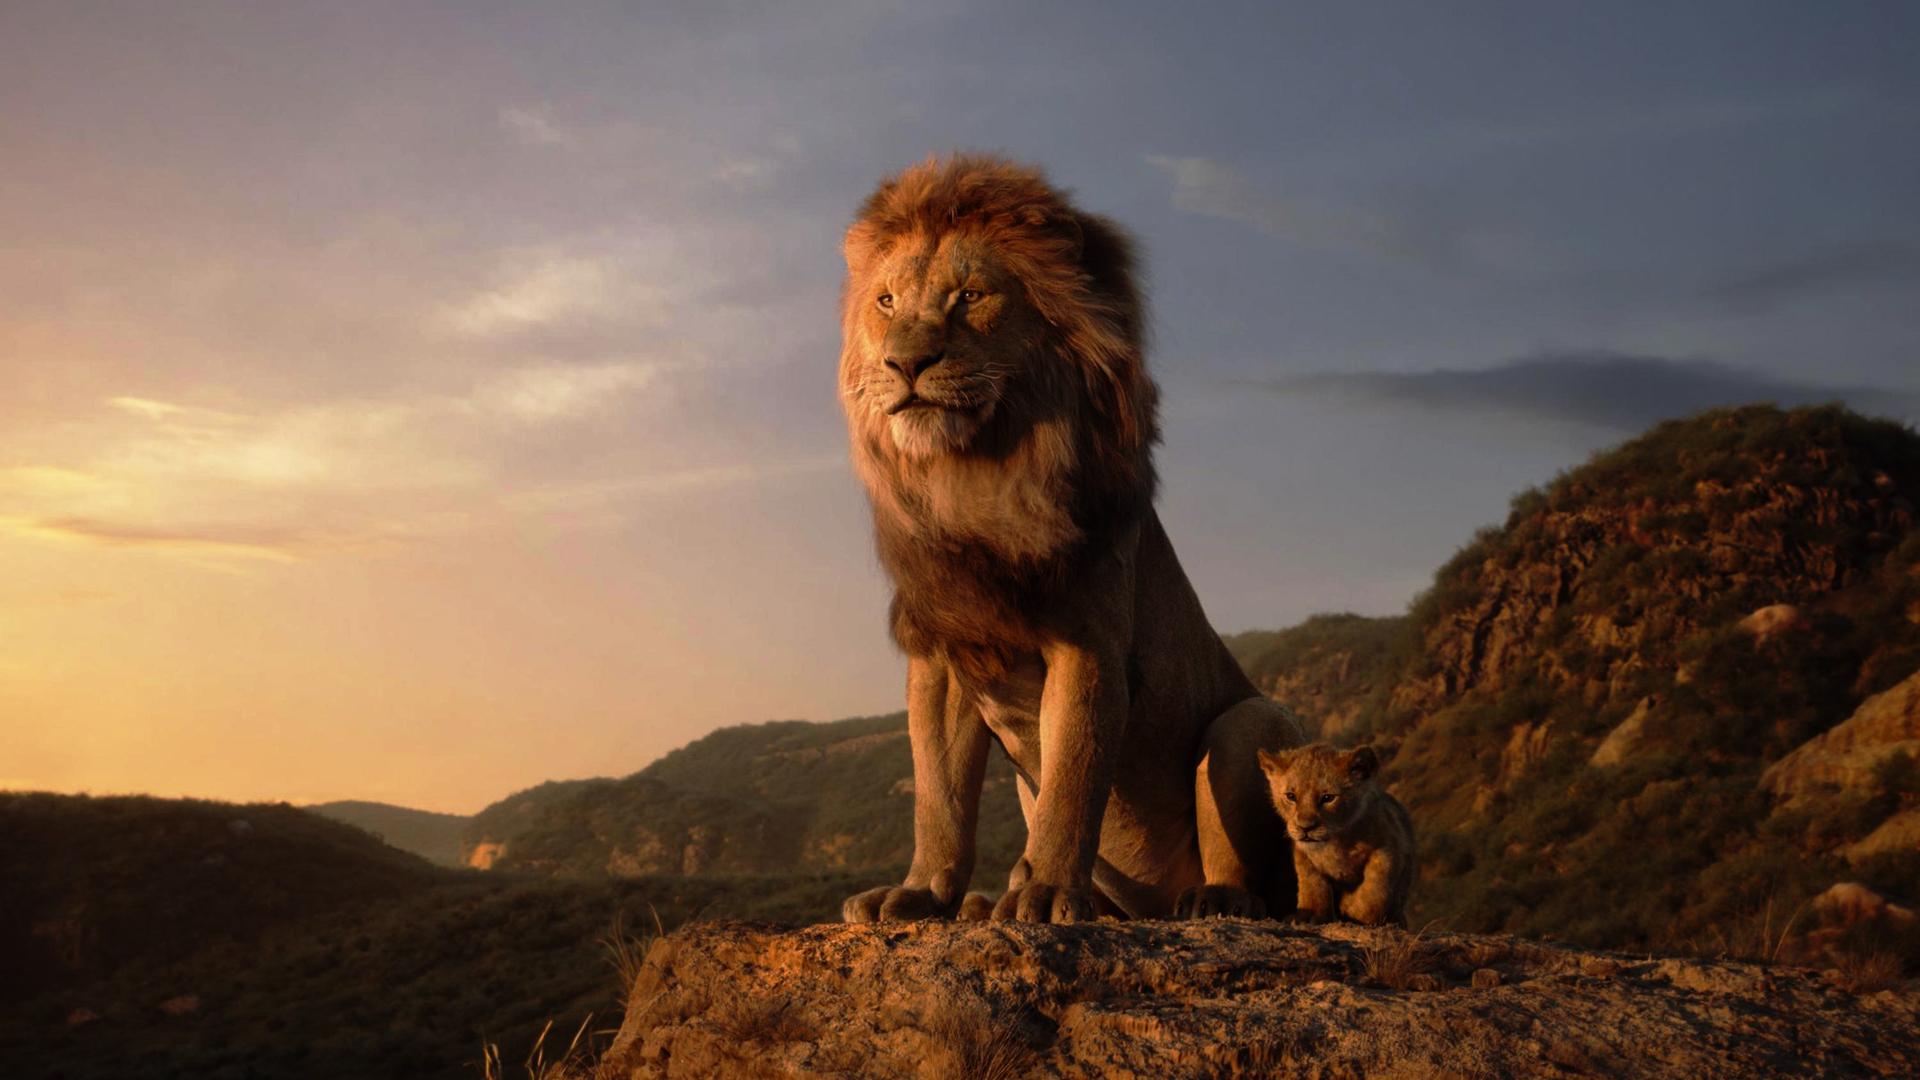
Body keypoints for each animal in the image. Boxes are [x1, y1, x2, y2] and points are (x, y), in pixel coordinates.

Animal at [835, 155, 1307, 924]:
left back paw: (1210, 900)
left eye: (971, 296)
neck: (973, 478)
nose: (905, 363)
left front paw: (1049, 892)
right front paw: (921, 893)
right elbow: (939, 797)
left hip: (1250, 721)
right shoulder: (943, 652)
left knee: (1254, 877)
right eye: (885, 302)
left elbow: (1073, 780)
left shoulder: (1088, 644)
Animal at [1258, 743, 1415, 927]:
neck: (1335, 842)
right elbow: (1312, 884)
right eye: (1291, 796)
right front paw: (1309, 915)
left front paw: (1354, 910)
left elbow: (1375, 887)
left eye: (1328, 798)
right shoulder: (1303, 855)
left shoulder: (1389, 846)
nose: (1305, 828)